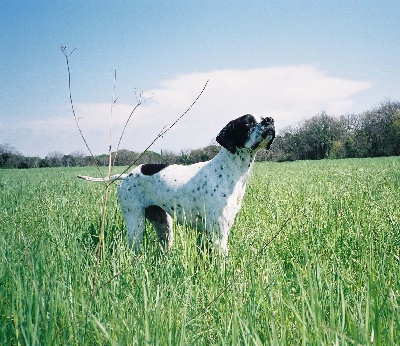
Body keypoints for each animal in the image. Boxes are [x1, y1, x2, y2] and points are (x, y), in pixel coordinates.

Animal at [79, 115, 276, 255]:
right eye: (248, 123)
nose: (270, 120)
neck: (230, 169)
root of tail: (128, 175)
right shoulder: (218, 231)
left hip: (164, 225)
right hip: (135, 223)